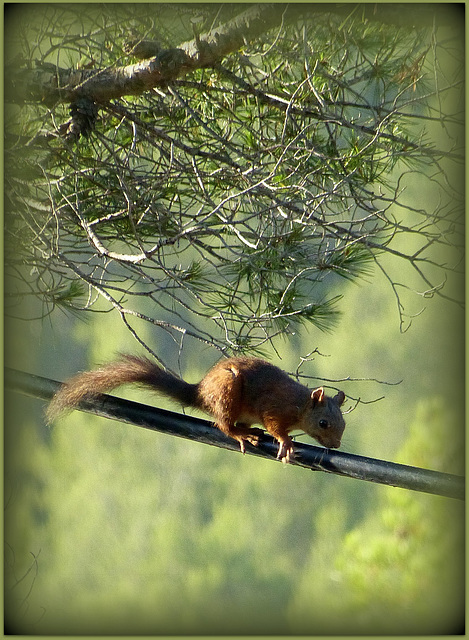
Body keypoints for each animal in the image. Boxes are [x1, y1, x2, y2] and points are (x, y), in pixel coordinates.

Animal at [47, 352, 346, 462]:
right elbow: (275, 426)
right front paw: (286, 441)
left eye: (343, 424)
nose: (336, 445)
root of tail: (200, 392)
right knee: (223, 424)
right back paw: (241, 434)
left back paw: (250, 431)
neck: (300, 406)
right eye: (323, 423)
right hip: (227, 394)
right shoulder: (274, 407)